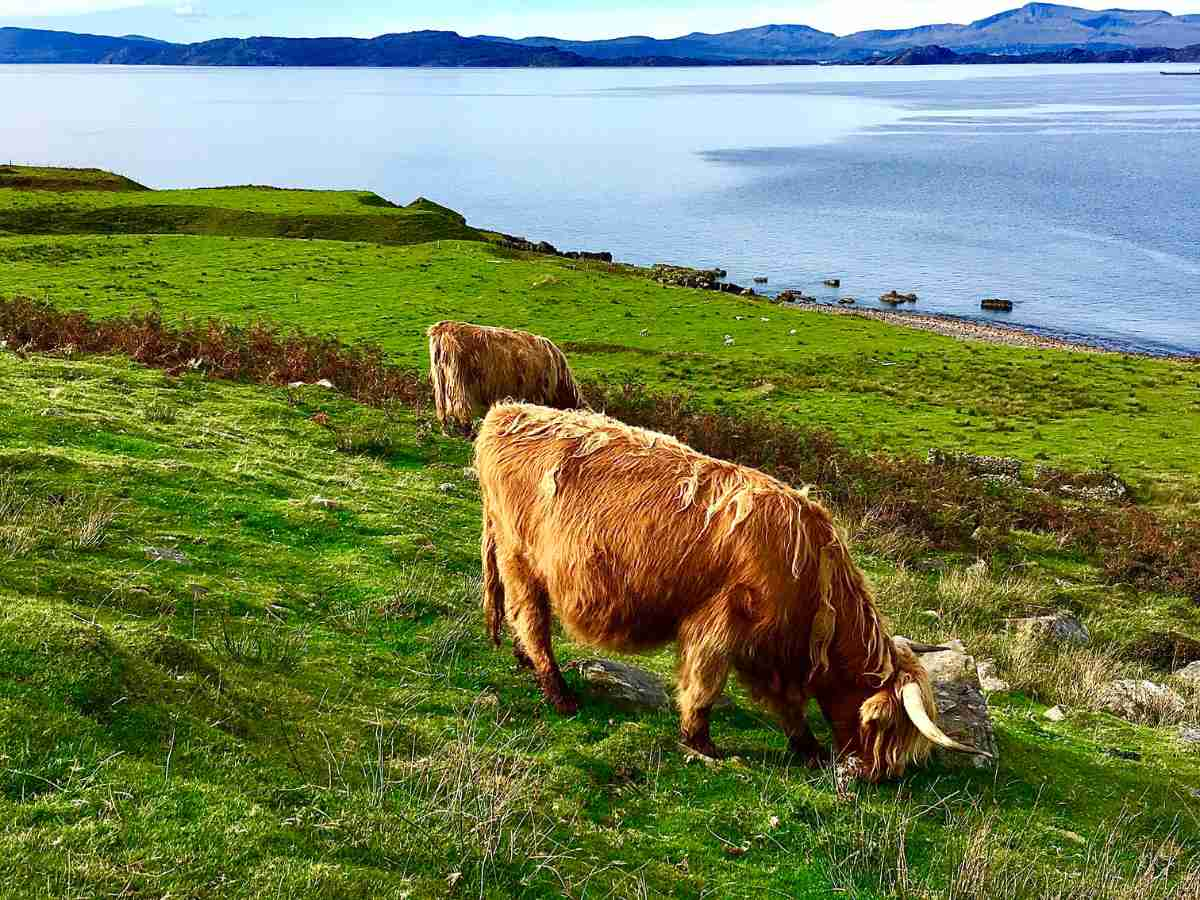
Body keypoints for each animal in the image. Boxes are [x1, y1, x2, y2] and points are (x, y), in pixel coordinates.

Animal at [427, 321, 585, 434]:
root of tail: (443, 327)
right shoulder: (537, 394)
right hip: (458, 380)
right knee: (460, 405)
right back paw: (466, 430)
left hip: (440, 378)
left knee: (442, 406)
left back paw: (446, 429)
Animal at [470, 403, 984, 782]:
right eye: (887, 729)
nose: (878, 777)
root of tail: (505, 412)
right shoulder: (722, 625)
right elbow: (704, 684)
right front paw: (701, 741)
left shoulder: (772, 651)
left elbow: (788, 703)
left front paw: (808, 748)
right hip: (521, 560)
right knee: (532, 620)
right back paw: (559, 694)